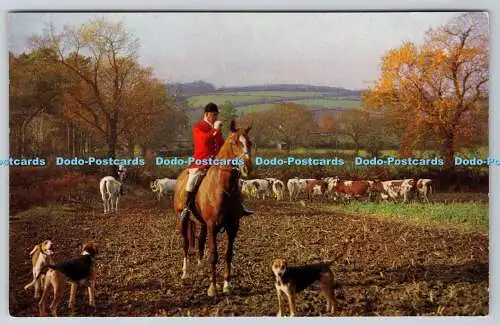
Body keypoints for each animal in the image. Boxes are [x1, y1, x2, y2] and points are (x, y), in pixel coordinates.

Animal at [173, 119, 252, 296]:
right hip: (184, 219)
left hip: (202, 224)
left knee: (200, 243)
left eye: (250, 143)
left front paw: (227, 285)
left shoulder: (232, 226)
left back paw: (201, 269)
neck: (224, 186)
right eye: (235, 143)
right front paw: (213, 287)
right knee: (185, 243)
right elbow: (214, 255)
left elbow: (228, 255)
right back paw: (185, 272)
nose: (247, 167)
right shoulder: (212, 225)